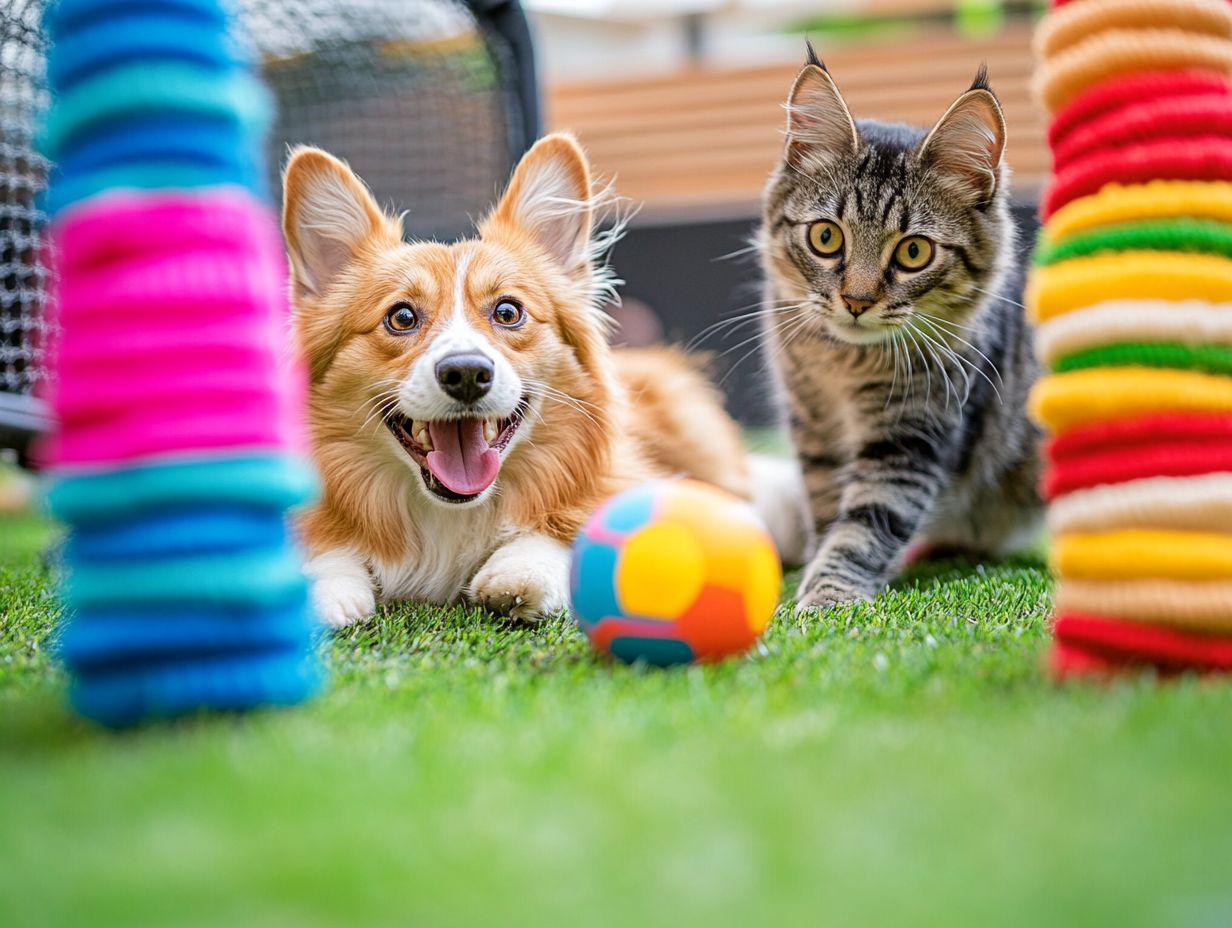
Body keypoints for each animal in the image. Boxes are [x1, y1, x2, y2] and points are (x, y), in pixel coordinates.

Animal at [758, 52, 1039, 616]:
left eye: (913, 252)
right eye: (826, 237)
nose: (857, 301)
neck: (846, 366)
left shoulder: (913, 437)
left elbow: (865, 525)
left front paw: (828, 599)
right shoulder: (814, 429)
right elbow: (829, 509)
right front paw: (817, 570)